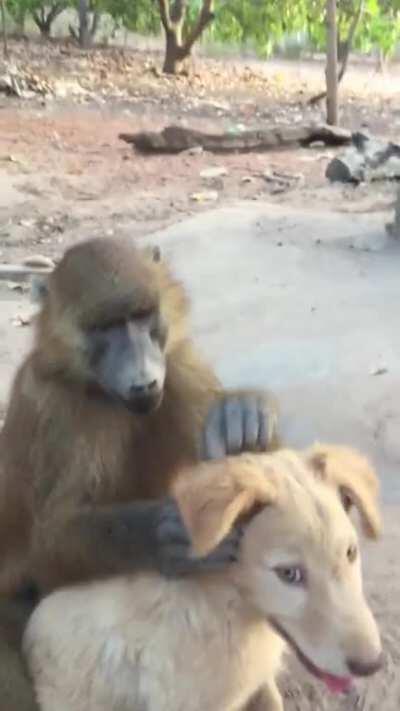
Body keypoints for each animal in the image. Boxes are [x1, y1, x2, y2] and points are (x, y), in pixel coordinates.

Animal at [0, 236, 279, 710]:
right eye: (105, 328)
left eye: (141, 316)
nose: (143, 381)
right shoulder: (60, 412)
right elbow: (51, 544)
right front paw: (170, 534)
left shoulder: (180, 366)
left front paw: (243, 415)